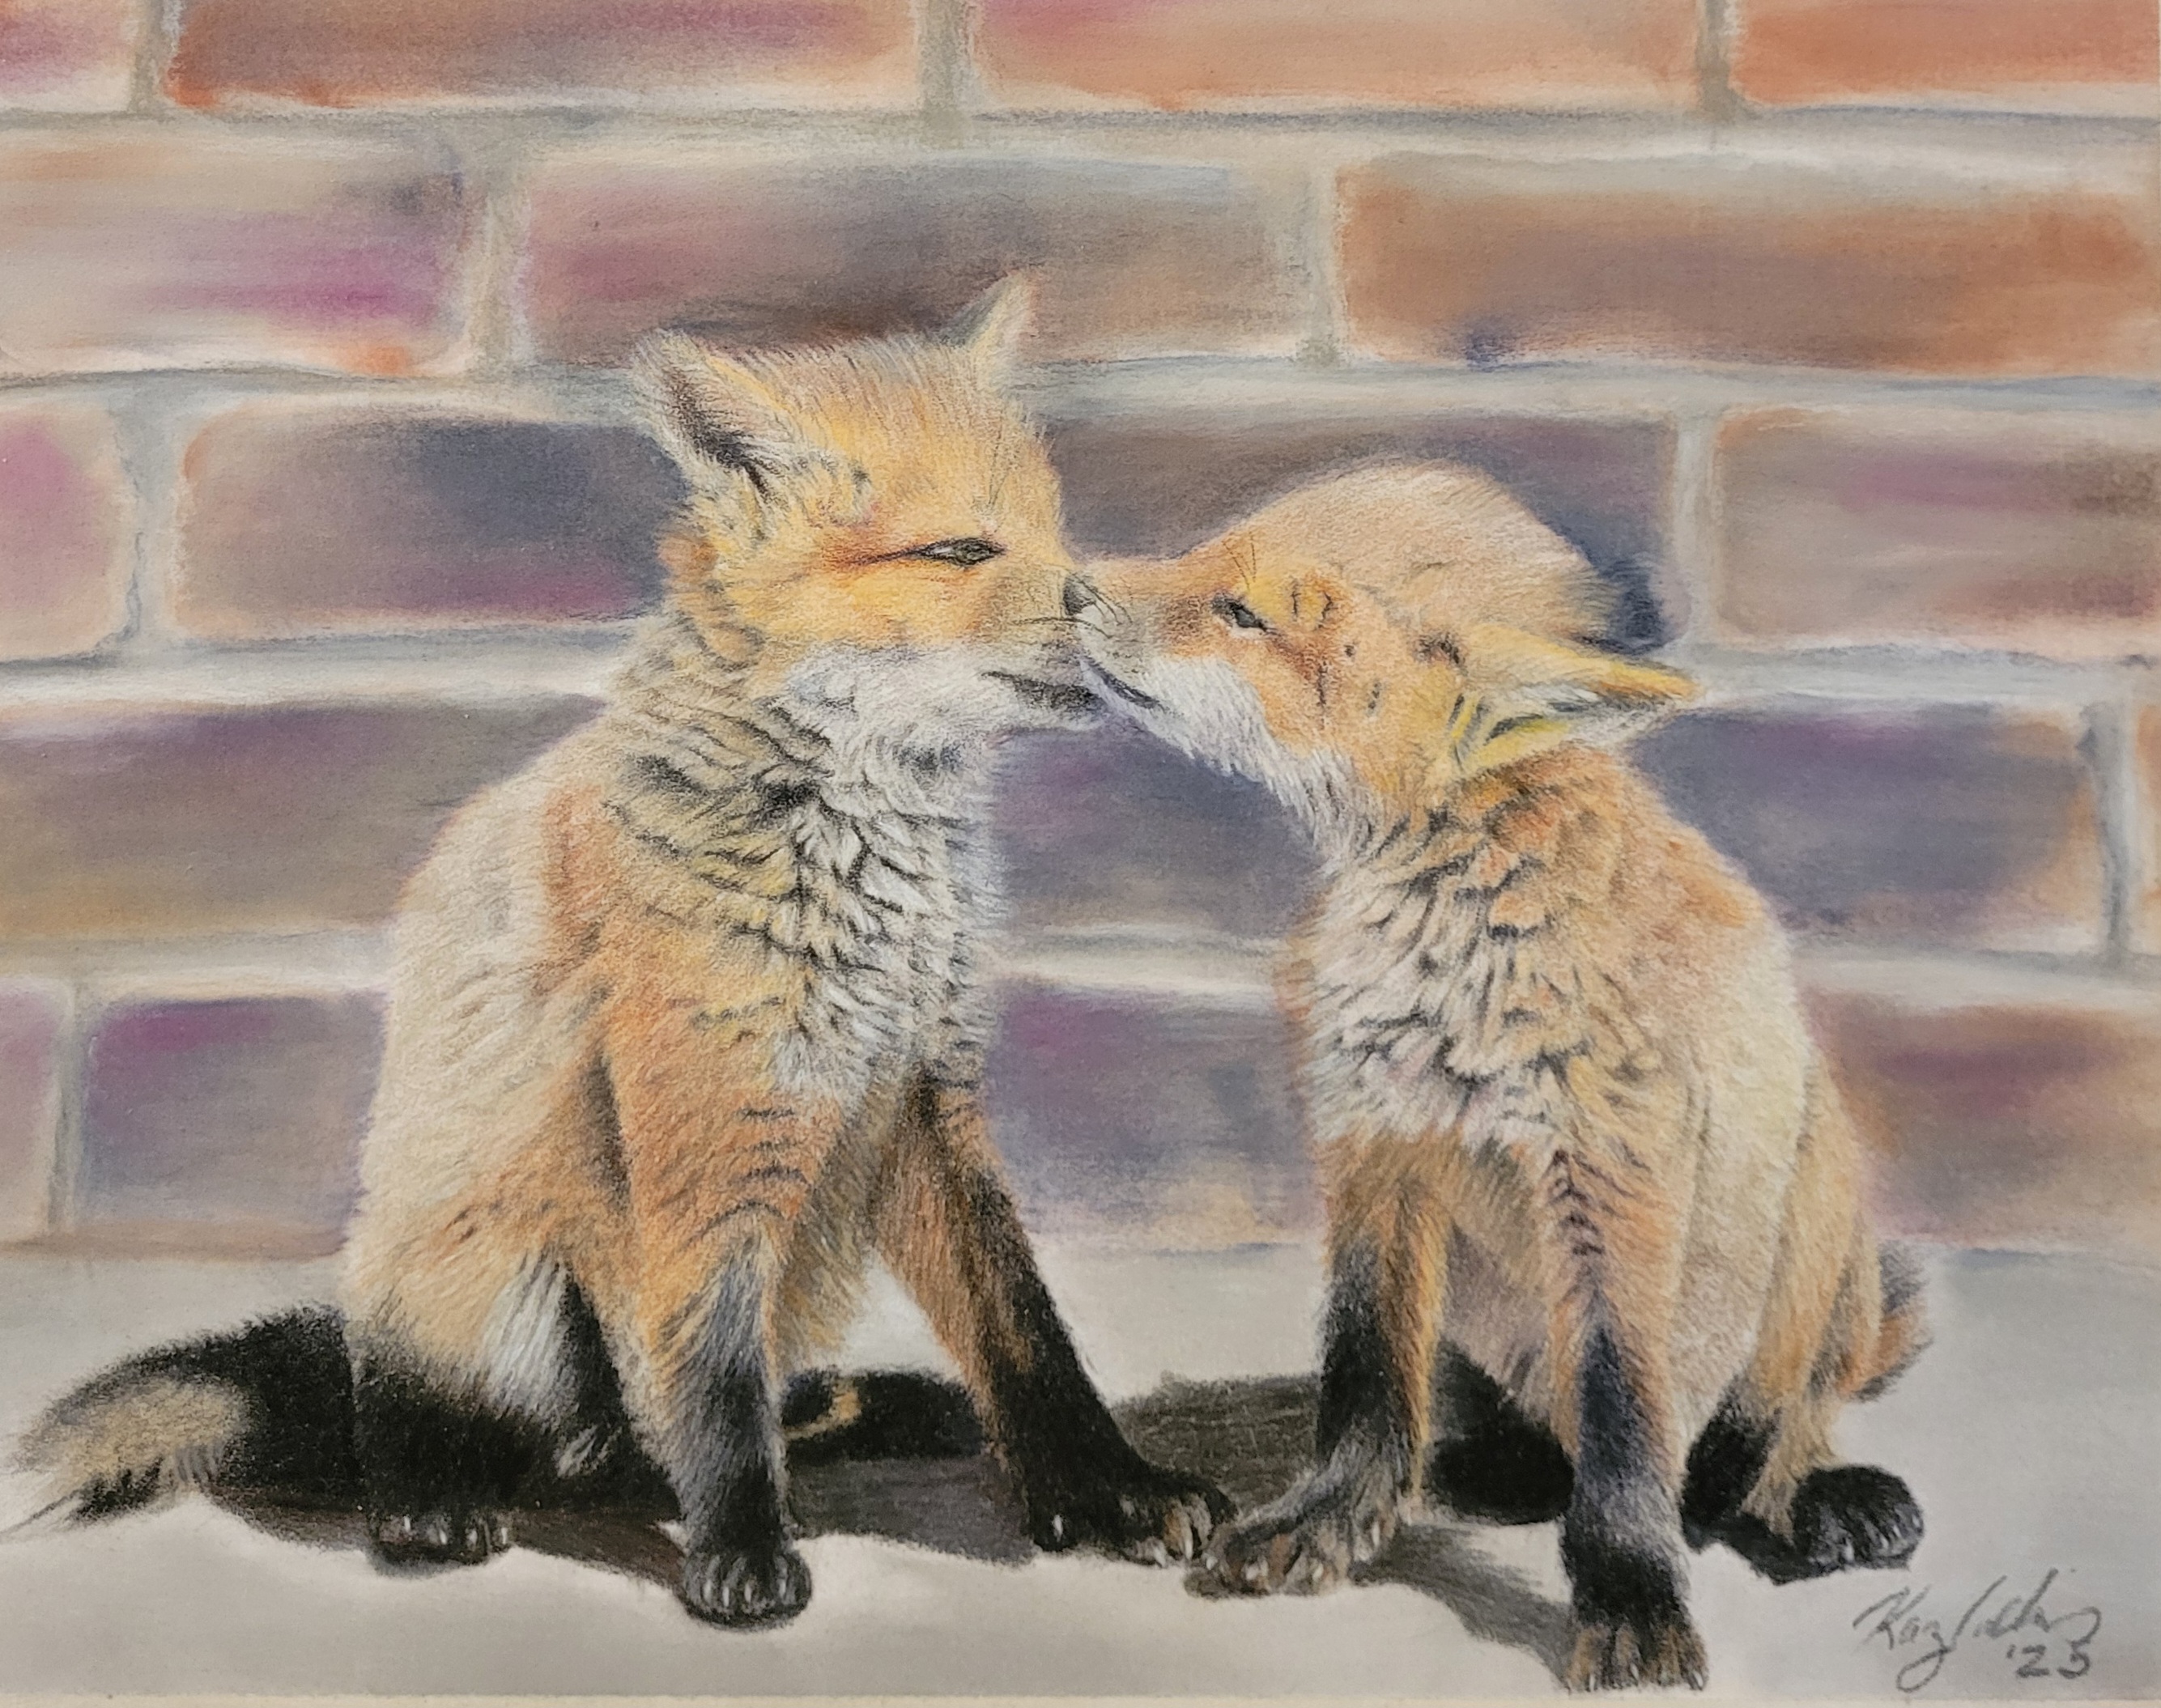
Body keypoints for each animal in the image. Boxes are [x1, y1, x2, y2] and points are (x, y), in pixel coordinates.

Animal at [17, 282, 1227, 1627]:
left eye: (1061, 539)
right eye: (961, 551)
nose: (1104, 607)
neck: (866, 868)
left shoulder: (923, 1096)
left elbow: (1024, 1332)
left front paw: (1107, 1489)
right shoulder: (707, 1115)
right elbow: (713, 1377)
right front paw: (741, 1548)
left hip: (806, 1252)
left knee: (680, 1430)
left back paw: (828, 1416)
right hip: (511, 1284)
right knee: (482, 1425)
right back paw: (432, 1501)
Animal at [1066, 464, 1927, 1690]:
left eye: (1243, 612)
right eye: (1203, 557)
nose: (1069, 585)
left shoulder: (1611, 1184)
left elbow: (1623, 1428)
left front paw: (1631, 1597)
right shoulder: (1376, 1154)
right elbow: (1366, 1379)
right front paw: (1332, 1521)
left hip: (1815, 1243)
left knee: (1758, 1436)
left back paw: (1808, 1495)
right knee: (1531, 1424)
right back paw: (1500, 1466)